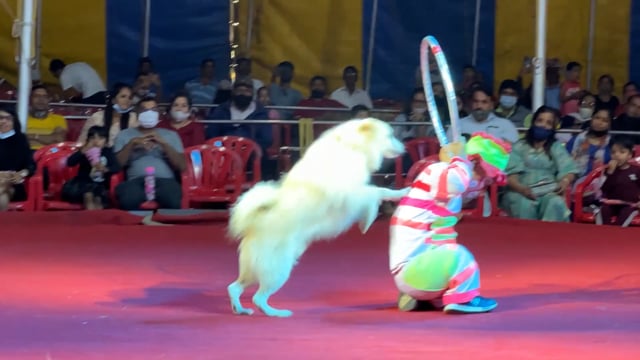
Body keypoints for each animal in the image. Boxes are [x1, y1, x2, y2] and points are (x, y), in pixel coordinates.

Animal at [228, 118, 408, 318]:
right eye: (390, 136)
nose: (404, 148)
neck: (352, 147)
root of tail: (254, 224)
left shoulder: (355, 194)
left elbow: (376, 194)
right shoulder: (353, 194)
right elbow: (379, 192)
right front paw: (391, 200)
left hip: (254, 271)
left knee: (234, 288)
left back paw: (241, 309)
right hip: (278, 270)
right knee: (258, 298)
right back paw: (277, 313)